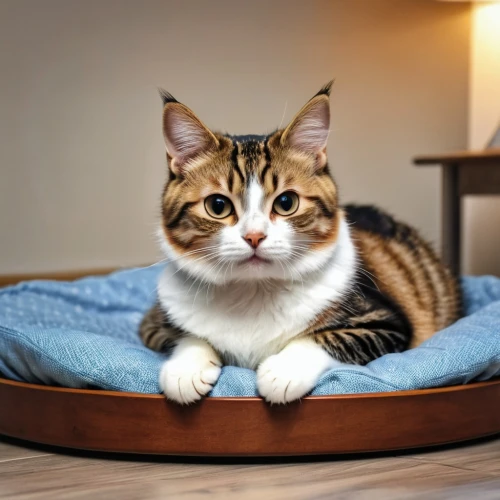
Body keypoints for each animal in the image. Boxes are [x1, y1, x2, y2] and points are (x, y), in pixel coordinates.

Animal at [140, 83, 460, 406]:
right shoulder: (153, 322)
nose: (254, 236)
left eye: (286, 202)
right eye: (217, 205)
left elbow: (325, 338)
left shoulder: (386, 322)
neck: (253, 291)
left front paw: (284, 371)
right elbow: (184, 336)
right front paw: (185, 369)